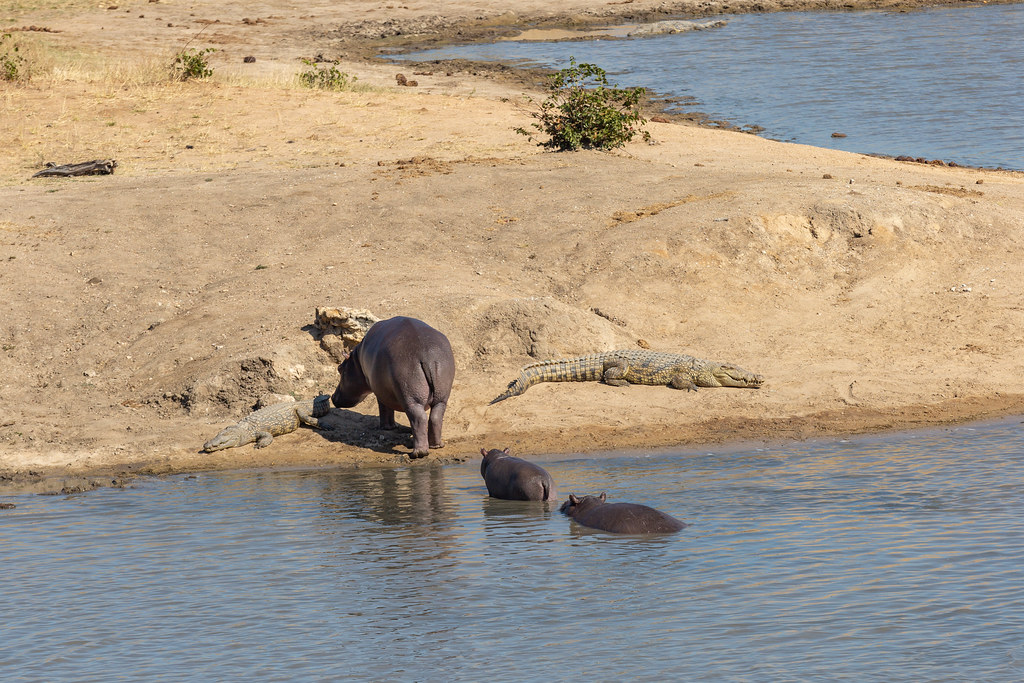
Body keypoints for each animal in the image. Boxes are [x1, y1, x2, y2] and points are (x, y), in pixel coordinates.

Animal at [331, 316, 455, 458]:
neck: (356, 360)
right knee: (436, 416)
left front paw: (387, 427)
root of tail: (426, 353)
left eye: (339, 368)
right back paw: (437, 445)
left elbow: (385, 408)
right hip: (441, 396)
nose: (332, 397)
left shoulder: (380, 391)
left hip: (410, 397)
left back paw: (418, 453)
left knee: (419, 418)